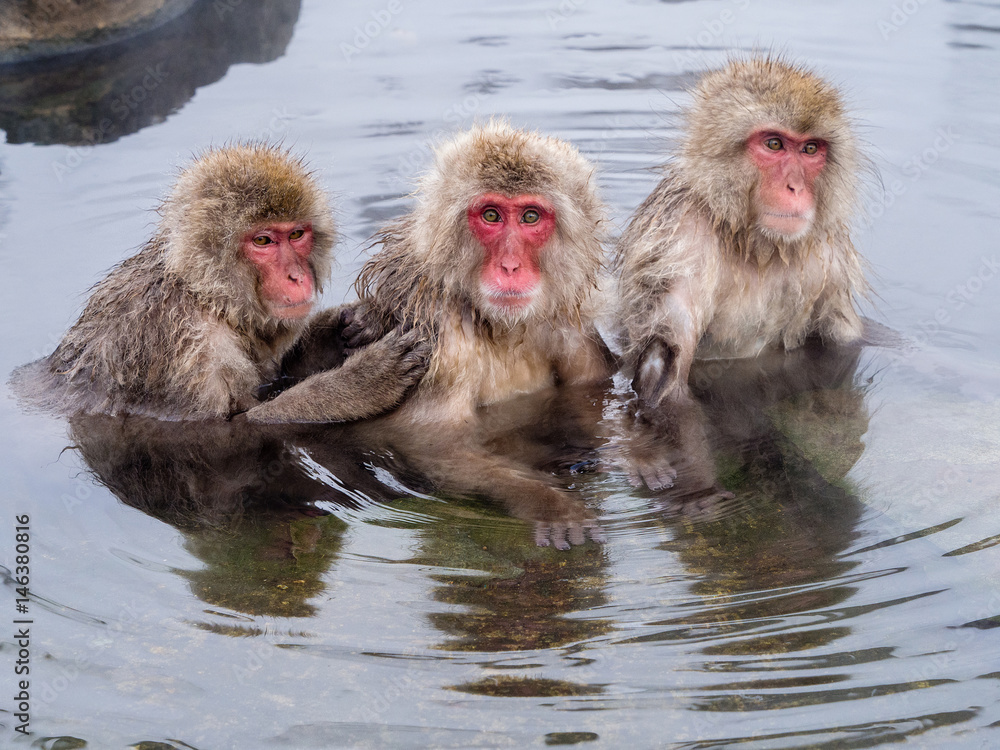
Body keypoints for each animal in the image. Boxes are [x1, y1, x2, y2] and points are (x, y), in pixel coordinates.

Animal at [12, 143, 425, 420]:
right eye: (263, 241)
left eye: (296, 235)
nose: (296, 276)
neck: (204, 294)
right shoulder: (191, 355)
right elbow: (226, 432)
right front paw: (360, 384)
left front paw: (349, 325)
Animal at [248, 122, 615, 547]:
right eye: (491, 215)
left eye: (529, 216)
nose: (510, 266)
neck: (498, 326)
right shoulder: (441, 341)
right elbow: (432, 442)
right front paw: (547, 502)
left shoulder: (567, 324)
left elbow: (589, 394)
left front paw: (577, 458)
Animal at [615, 56, 870, 408]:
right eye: (774, 144)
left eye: (810, 149)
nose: (795, 187)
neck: (754, 243)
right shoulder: (678, 246)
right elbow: (665, 369)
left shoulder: (829, 257)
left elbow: (842, 342)